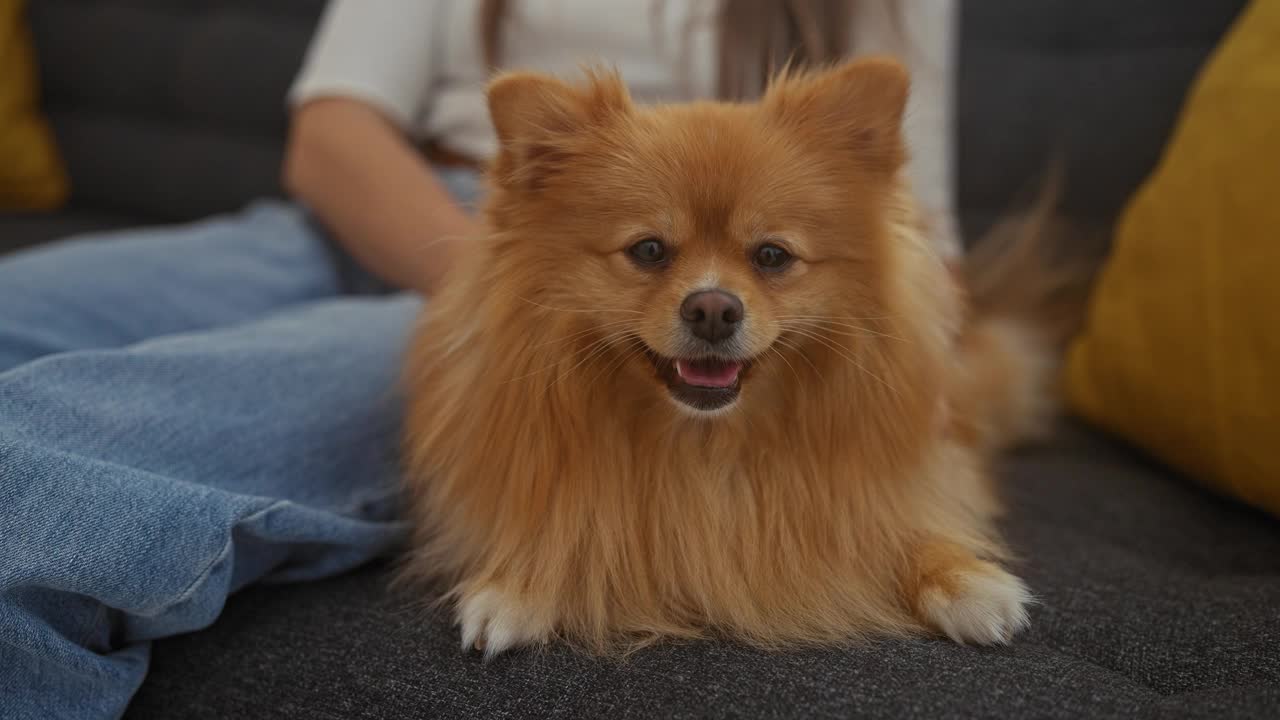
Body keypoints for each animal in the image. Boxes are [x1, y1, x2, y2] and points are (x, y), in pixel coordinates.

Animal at [401, 58, 1070, 655]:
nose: (713, 308)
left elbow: (901, 520)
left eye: (771, 256)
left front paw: (962, 576)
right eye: (648, 250)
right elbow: (567, 528)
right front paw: (521, 584)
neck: (705, 443)